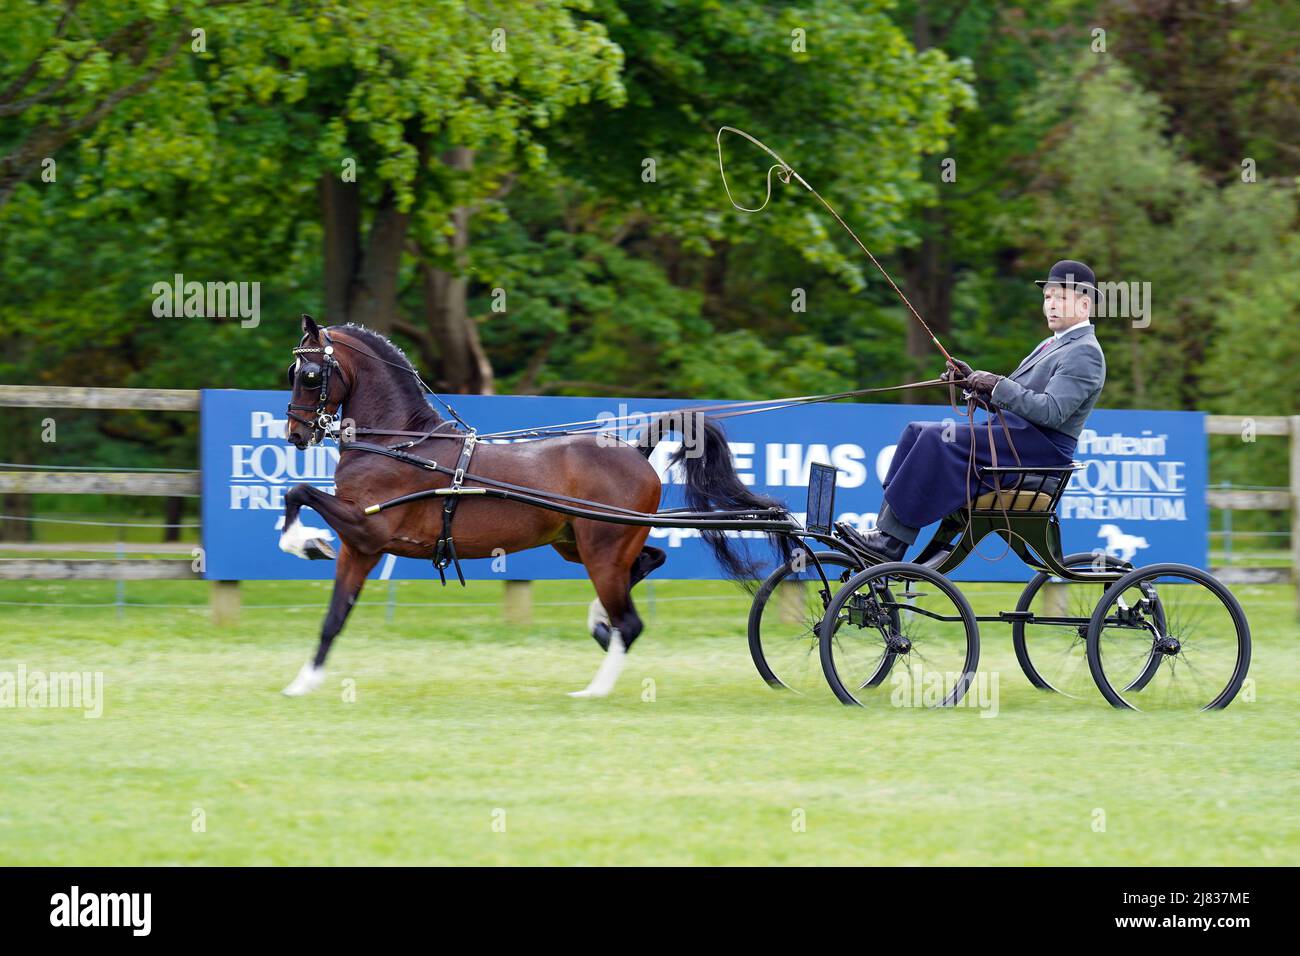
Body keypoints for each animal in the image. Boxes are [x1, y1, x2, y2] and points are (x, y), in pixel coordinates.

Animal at [278, 315, 792, 698]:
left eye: (309, 374)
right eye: (293, 373)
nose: (296, 434)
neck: (402, 443)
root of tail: (634, 450)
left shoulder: (370, 529)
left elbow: (297, 492)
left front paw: (305, 542)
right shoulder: (361, 546)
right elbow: (334, 617)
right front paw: (303, 682)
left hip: (602, 546)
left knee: (631, 620)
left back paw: (595, 688)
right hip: (583, 542)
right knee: (649, 562)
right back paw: (599, 623)